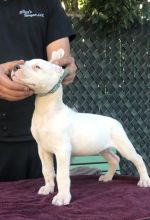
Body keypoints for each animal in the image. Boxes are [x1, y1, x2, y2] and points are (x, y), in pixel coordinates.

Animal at [11, 49, 150, 206]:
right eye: (24, 62)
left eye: (37, 67)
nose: (15, 67)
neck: (47, 111)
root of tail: (116, 121)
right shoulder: (43, 150)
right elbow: (47, 171)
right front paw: (48, 188)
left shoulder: (62, 150)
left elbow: (62, 175)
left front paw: (62, 197)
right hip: (102, 148)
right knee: (114, 159)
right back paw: (107, 177)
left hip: (124, 145)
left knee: (137, 158)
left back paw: (144, 180)